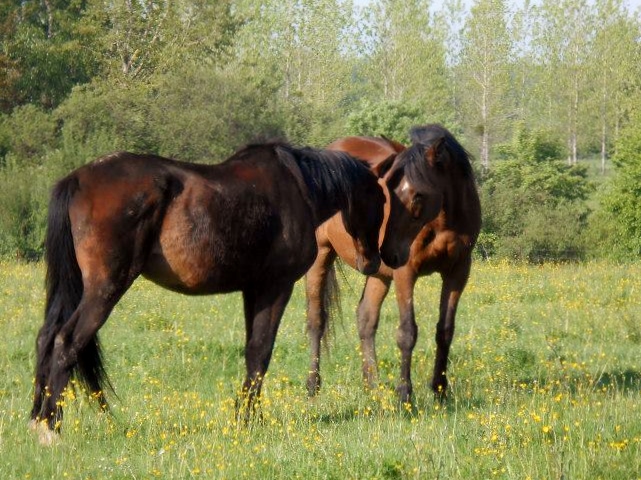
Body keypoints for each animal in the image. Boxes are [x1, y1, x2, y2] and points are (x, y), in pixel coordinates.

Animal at [30, 142, 396, 442]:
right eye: (380, 199)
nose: (374, 261)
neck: (299, 186)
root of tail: (77, 179)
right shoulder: (275, 287)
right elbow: (261, 352)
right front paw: (248, 420)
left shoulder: (253, 289)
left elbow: (252, 353)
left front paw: (250, 417)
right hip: (104, 289)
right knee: (66, 341)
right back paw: (51, 428)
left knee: (46, 338)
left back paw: (37, 418)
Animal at [304, 124, 480, 404]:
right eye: (387, 195)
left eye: (418, 195)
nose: (388, 252)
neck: (442, 222)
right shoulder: (405, 271)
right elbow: (407, 332)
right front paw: (405, 394)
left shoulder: (458, 271)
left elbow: (445, 331)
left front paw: (440, 390)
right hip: (322, 254)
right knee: (316, 320)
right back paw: (312, 385)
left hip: (378, 273)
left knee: (365, 318)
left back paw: (373, 387)